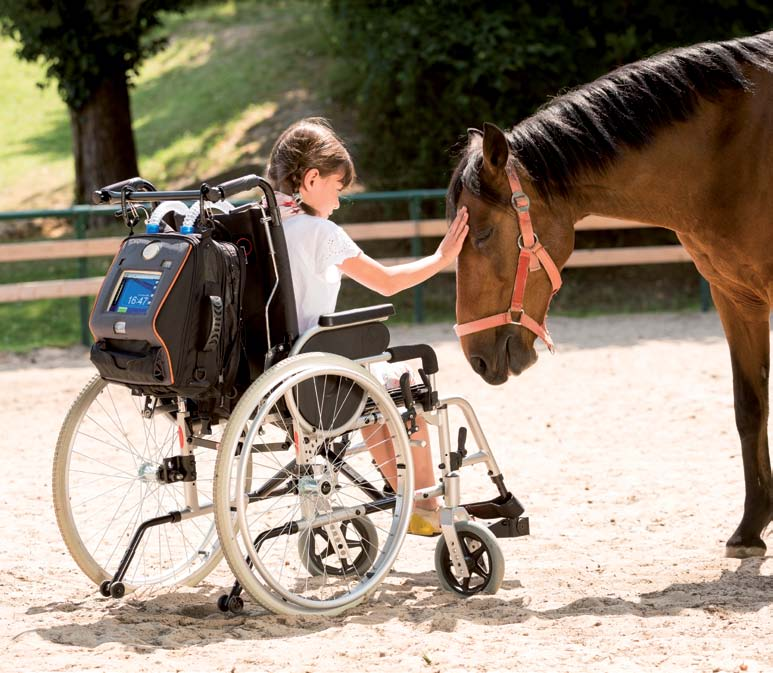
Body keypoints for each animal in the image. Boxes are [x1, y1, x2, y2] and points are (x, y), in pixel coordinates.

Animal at [450, 30, 768, 556]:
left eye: (482, 235)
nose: (474, 358)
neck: (732, 152)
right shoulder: (735, 298)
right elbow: (751, 407)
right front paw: (751, 526)